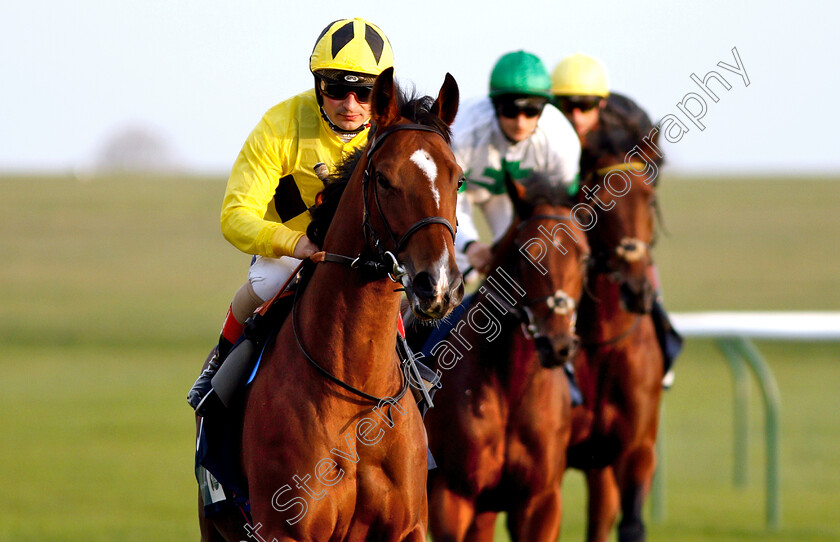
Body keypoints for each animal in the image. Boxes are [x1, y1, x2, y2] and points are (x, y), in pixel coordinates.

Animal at [201, 69, 470, 542]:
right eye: (383, 178)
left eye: (457, 179)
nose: (437, 284)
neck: (357, 393)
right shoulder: (285, 528)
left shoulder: (408, 527)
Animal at [424, 176, 588, 540]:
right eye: (528, 253)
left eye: (583, 256)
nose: (557, 344)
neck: (510, 388)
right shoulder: (450, 497)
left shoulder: (540, 501)